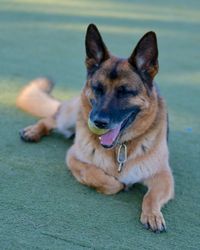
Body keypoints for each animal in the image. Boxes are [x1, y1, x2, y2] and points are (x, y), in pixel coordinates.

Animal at [16, 23, 173, 232]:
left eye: (125, 92)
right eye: (98, 88)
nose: (98, 121)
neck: (120, 148)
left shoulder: (164, 176)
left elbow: (151, 196)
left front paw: (153, 215)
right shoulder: (73, 158)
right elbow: (99, 177)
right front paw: (119, 184)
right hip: (69, 115)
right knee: (51, 118)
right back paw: (33, 131)